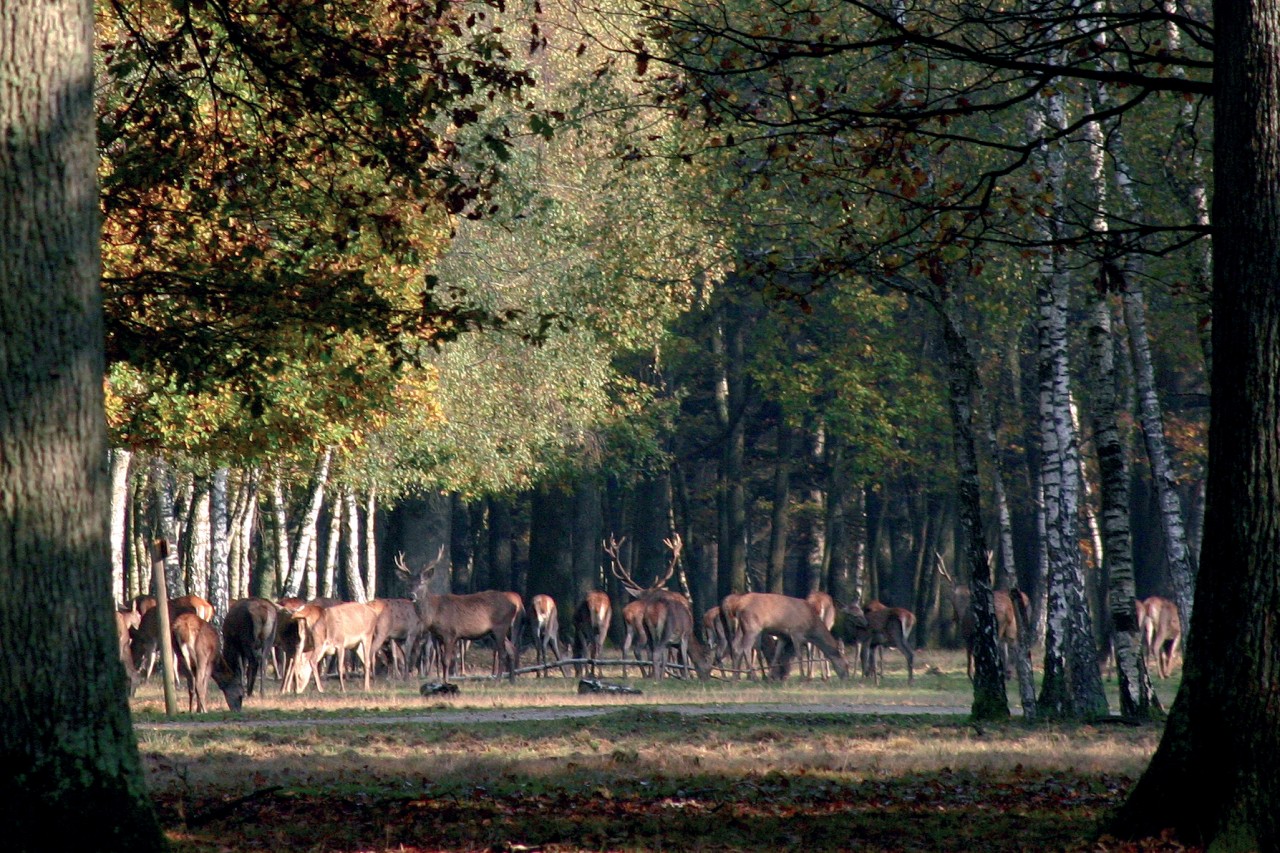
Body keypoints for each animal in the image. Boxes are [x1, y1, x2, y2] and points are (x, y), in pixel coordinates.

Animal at [399, 550, 519, 686]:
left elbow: (446, 660)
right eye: (408, 584)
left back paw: (498, 680)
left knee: (503, 653)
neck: (434, 614)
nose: (411, 595)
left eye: (421, 583)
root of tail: (514, 606)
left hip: (500, 626)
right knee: (511, 649)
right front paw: (443, 679)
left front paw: (446, 681)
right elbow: (442, 660)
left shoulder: (450, 633)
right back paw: (512, 680)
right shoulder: (438, 636)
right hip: (494, 631)